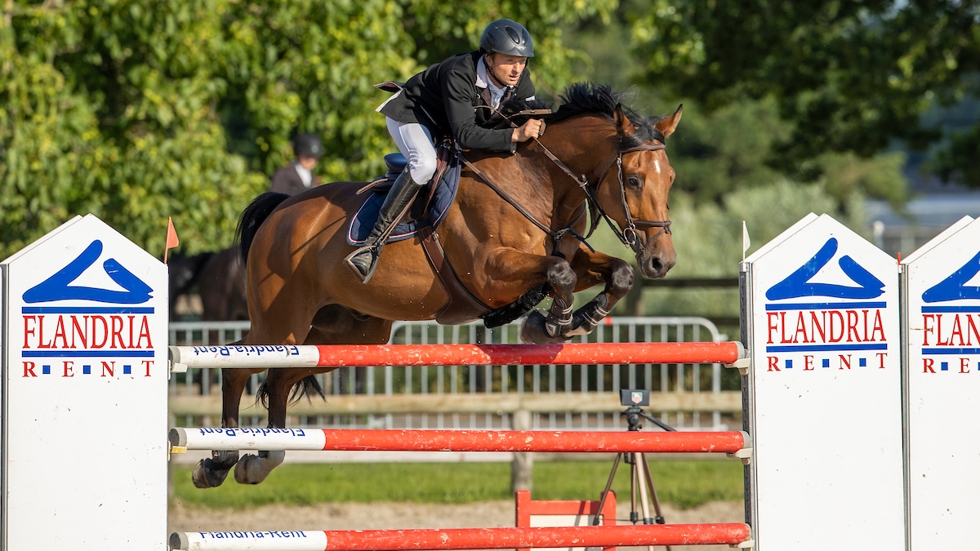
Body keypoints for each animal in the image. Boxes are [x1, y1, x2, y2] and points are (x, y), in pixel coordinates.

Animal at [191, 82, 680, 488]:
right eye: (633, 179)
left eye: (670, 178)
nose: (662, 260)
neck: (539, 181)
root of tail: (280, 211)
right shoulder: (489, 271)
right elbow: (558, 274)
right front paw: (549, 323)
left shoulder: (567, 255)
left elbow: (613, 272)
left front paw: (579, 319)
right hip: (281, 322)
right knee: (239, 366)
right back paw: (218, 462)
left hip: (351, 335)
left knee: (280, 375)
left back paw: (261, 460)